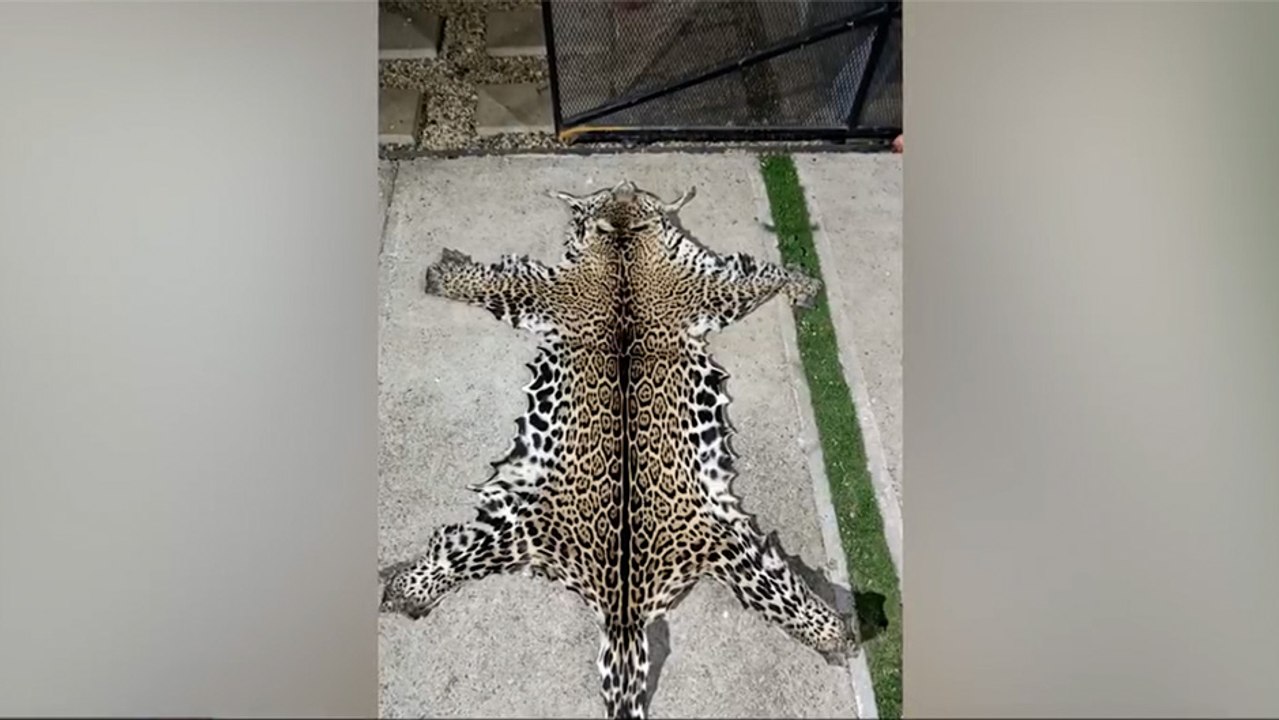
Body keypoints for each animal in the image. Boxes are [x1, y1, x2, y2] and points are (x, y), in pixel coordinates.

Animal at [380, 180, 860, 719]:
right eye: (610, 194)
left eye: (626, 195)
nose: (627, 184)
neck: (624, 246)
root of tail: (623, 616)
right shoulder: (557, 291)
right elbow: (494, 283)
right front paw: (446, 276)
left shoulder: (706, 286)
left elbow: (765, 277)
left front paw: (801, 283)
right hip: (522, 528)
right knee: (450, 554)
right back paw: (409, 587)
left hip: (721, 546)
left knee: (785, 595)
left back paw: (834, 630)